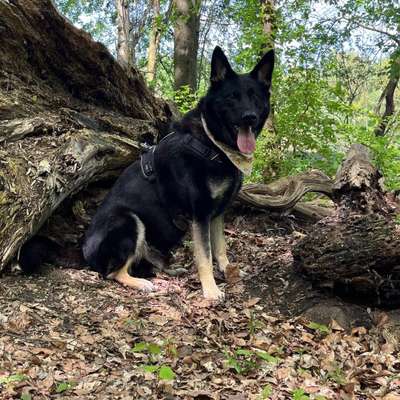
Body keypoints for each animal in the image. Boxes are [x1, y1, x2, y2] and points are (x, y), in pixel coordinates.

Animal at [81, 45, 276, 298]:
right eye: (232, 97)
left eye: (255, 97)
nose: (249, 117)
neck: (212, 143)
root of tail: (85, 252)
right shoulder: (200, 214)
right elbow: (204, 255)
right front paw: (211, 289)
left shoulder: (217, 213)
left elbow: (220, 247)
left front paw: (227, 269)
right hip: (128, 220)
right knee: (114, 272)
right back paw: (141, 282)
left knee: (146, 258)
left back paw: (170, 270)